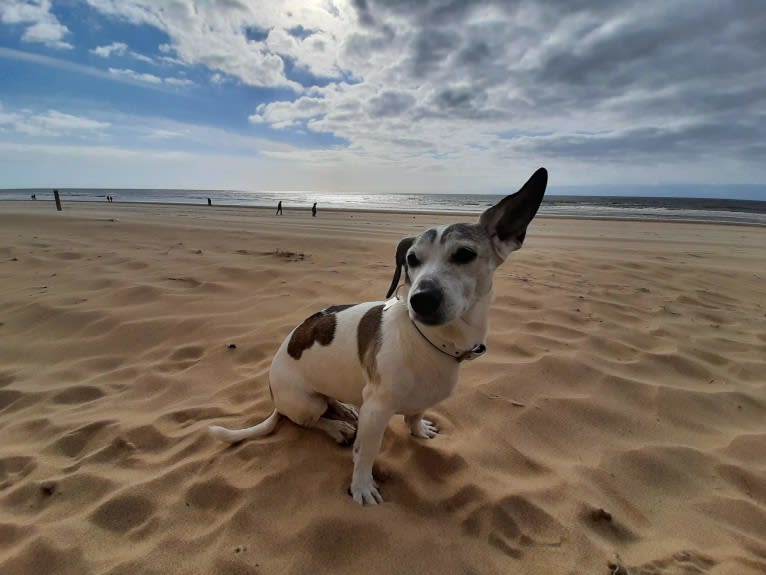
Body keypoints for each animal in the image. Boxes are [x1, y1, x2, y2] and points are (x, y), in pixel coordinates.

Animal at [210, 169, 544, 506]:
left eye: (464, 254)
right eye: (411, 259)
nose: (422, 300)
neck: (430, 341)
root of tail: (274, 396)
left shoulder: (419, 397)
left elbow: (415, 415)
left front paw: (418, 429)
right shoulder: (375, 411)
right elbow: (365, 454)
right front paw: (361, 486)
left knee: (329, 403)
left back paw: (343, 409)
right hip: (305, 403)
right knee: (310, 420)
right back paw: (338, 428)